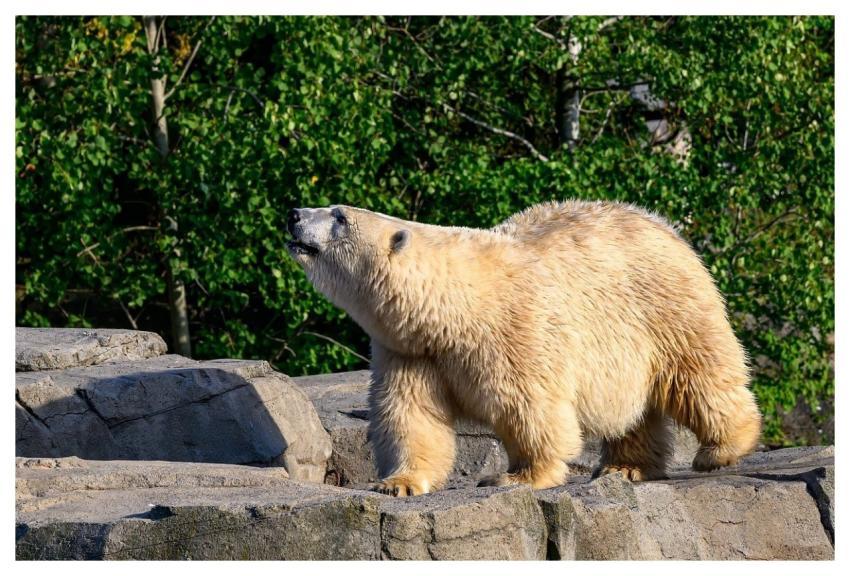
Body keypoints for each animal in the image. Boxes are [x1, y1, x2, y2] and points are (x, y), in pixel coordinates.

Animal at [286, 200, 762, 496]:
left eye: (339, 217)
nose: (293, 214)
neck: (454, 305)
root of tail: (666, 227)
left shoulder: (516, 330)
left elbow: (529, 406)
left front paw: (515, 478)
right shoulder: (412, 350)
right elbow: (409, 413)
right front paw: (398, 482)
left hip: (665, 307)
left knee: (699, 374)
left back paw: (720, 450)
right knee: (632, 410)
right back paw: (625, 467)